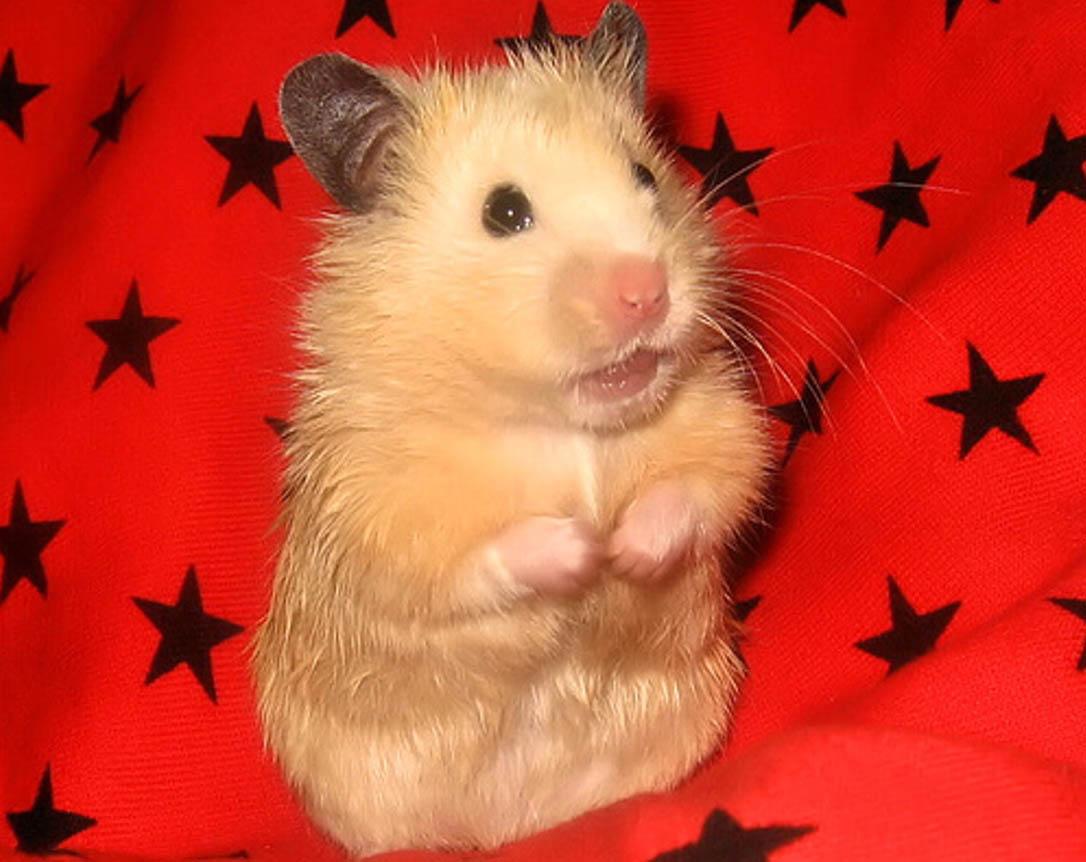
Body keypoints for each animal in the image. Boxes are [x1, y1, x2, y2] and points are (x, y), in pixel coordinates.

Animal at [251, 3, 769, 855]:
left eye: (645, 176)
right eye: (504, 212)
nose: (647, 293)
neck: (567, 427)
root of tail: (513, 825)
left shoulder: (722, 421)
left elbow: (702, 489)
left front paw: (628, 550)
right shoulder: (378, 506)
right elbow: (470, 560)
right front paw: (584, 550)